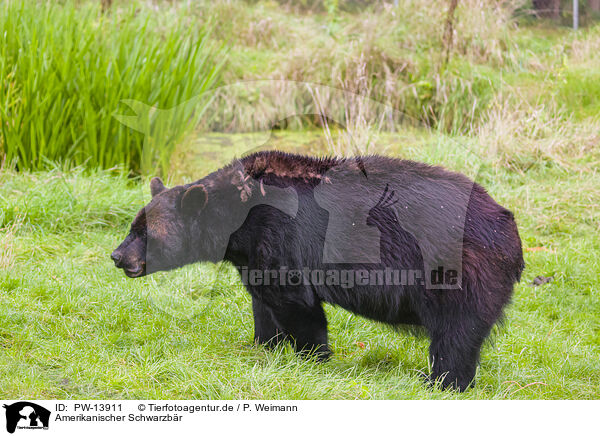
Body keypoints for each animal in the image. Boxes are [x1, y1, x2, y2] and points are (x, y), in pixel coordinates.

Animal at [113, 152, 524, 390]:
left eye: (146, 234)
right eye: (133, 226)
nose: (117, 256)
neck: (238, 213)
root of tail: (510, 231)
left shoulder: (281, 233)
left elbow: (296, 301)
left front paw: (314, 357)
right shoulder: (253, 254)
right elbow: (263, 301)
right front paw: (265, 346)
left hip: (459, 271)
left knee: (456, 333)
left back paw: (441, 382)